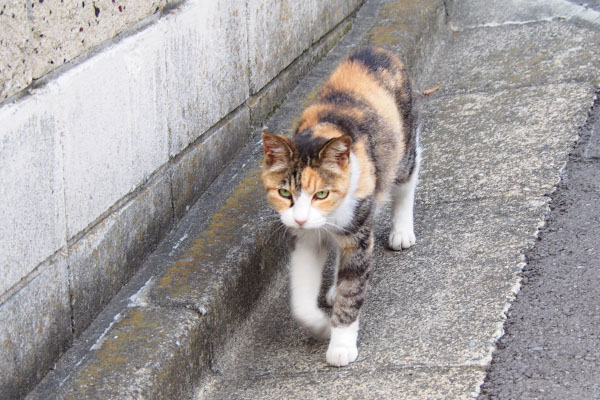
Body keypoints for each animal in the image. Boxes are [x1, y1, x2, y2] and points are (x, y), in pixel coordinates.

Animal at [260, 46, 420, 366]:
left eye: (321, 194)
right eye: (284, 192)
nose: (300, 218)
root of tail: (374, 49)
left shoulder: (358, 232)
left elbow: (352, 289)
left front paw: (341, 344)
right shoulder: (306, 238)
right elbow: (300, 299)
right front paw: (321, 325)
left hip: (403, 143)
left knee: (408, 177)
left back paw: (402, 231)